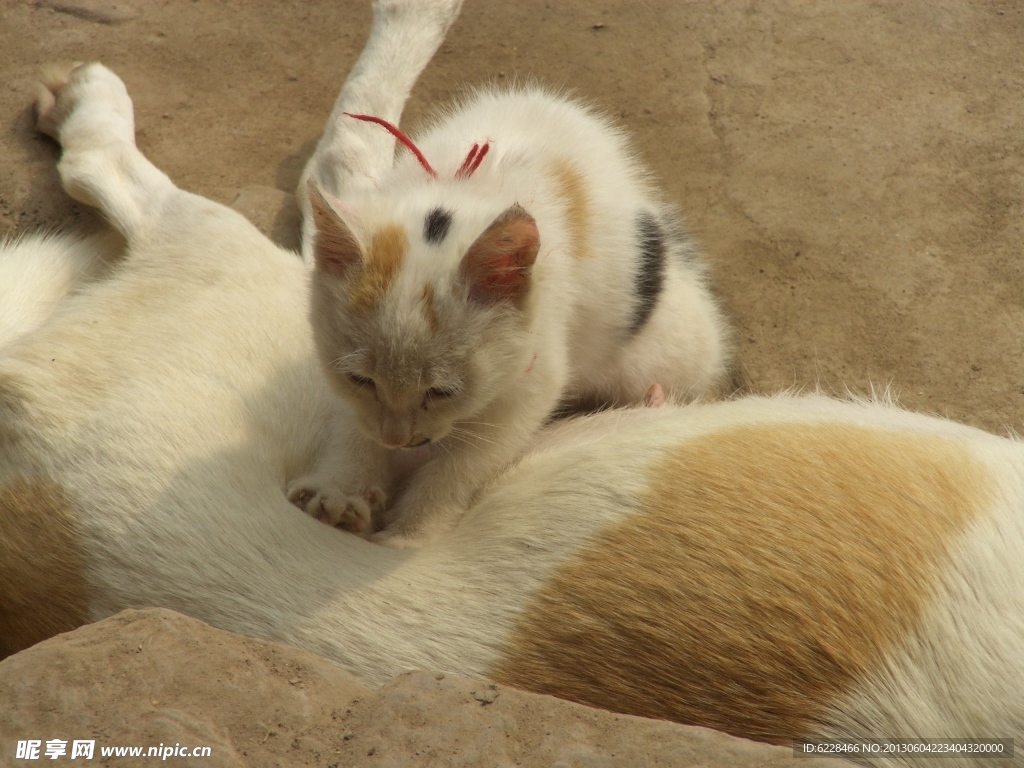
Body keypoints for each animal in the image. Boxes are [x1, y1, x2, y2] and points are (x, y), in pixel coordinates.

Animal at [292, 83, 733, 544]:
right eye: (361, 379)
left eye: (442, 391)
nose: (399, 439)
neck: (460, 194)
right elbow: (352, 425)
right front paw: (340, 492)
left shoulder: (534, 371)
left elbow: (465, 462)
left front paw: (411, 533)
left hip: (669, 350)